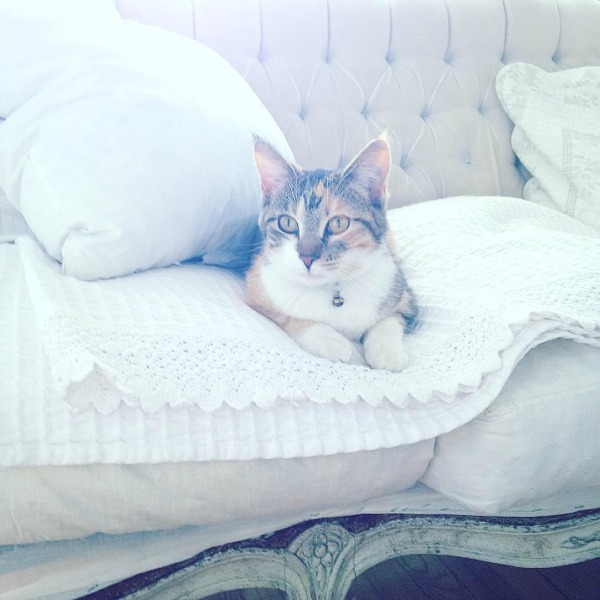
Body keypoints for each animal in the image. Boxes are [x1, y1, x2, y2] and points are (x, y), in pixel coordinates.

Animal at [244, 139, 418, 372]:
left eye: (339, 223)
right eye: (287, 223)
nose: (307, 257)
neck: (331, 288)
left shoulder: (403, 294)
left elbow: (391, 318)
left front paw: (386, 351)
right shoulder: (257, 289)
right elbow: (289, 317)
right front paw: (331, 342)